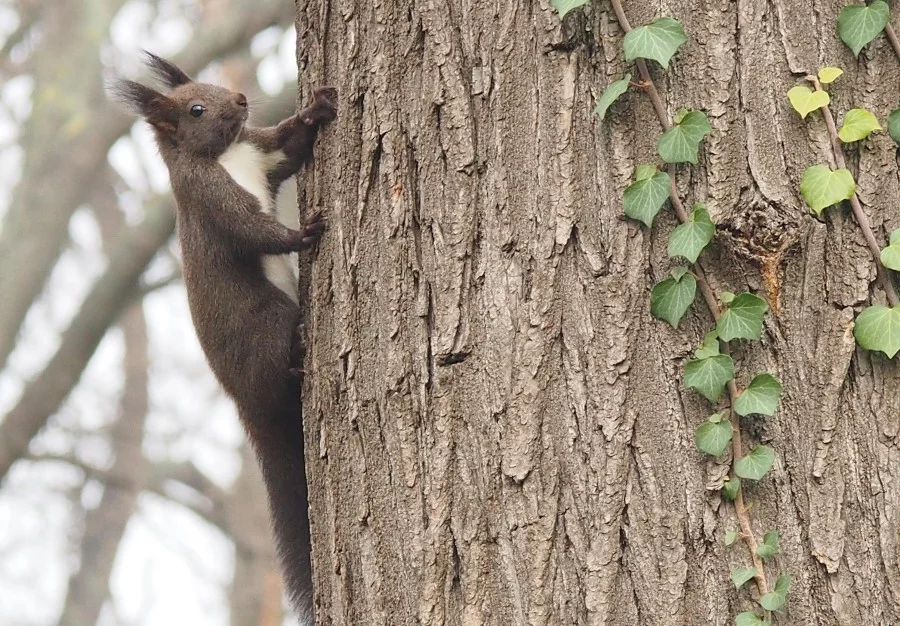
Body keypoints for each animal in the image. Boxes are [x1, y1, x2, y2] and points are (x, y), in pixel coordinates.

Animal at [114, 53, 334, 620]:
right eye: (194, 108)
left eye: (211, 83)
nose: (238, 99)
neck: (227, 153)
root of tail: (246, 402)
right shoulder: (210, 198)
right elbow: (253, 231)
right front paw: (303, 233)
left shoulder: (261, 152)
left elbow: (289, 146)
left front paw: (317, 109)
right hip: (268, 319)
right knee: (279, 365)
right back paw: (297, 357)